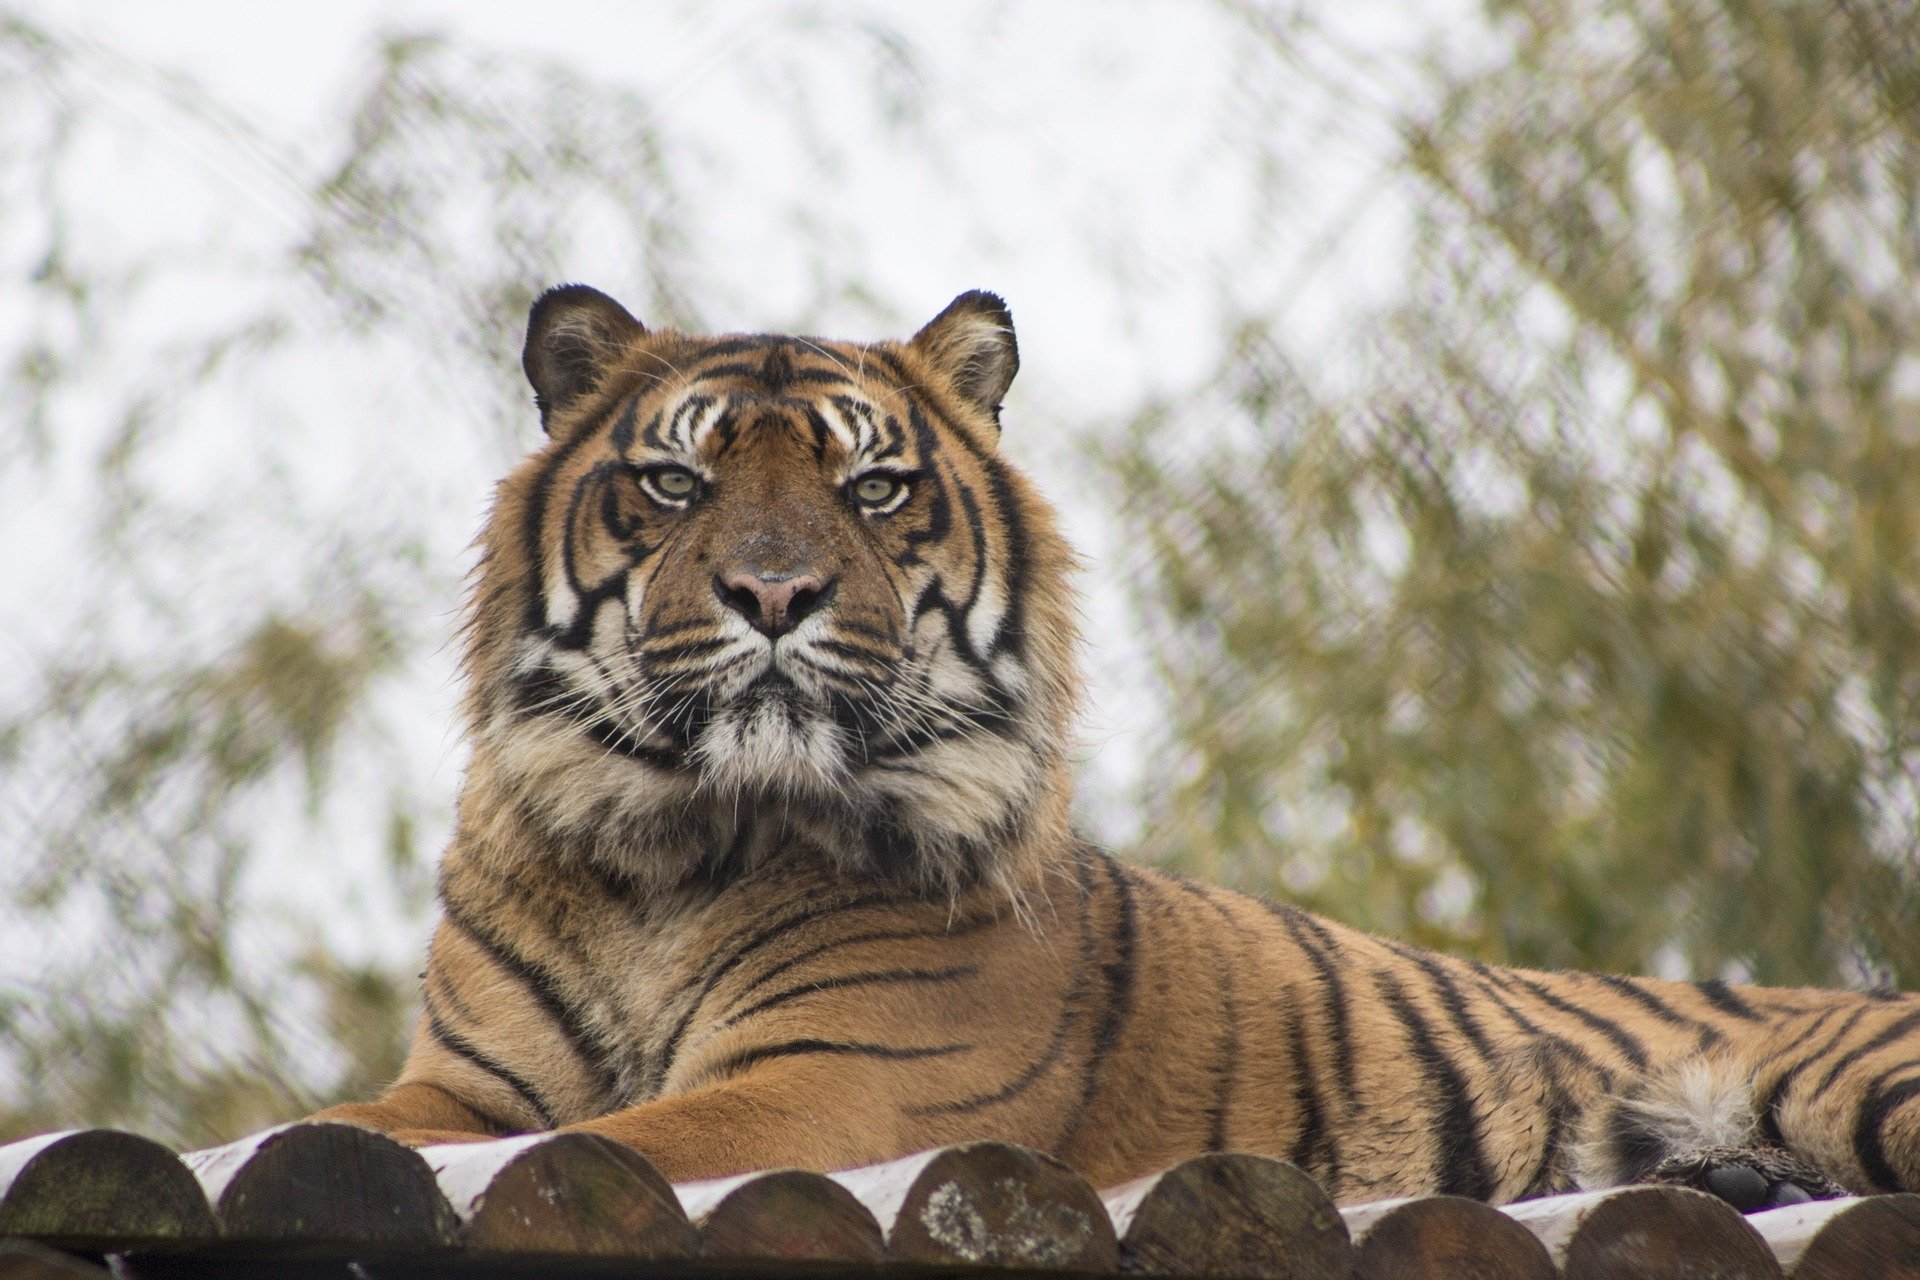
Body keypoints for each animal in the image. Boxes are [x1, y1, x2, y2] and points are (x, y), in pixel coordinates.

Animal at [315, 284, 1920, 1211]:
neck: (669, 852)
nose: (774, 593)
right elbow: (348, 1124)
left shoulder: (836, 1077)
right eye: (674, 481)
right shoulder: (470, 1085)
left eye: (876, 487)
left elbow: (615, 1138)